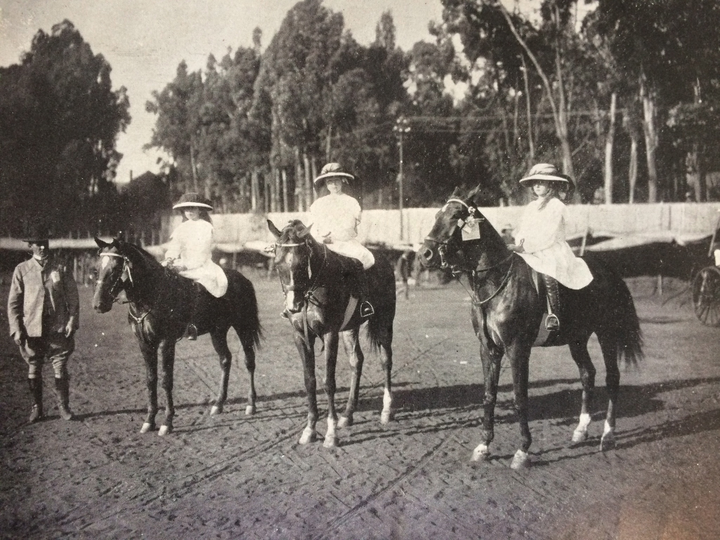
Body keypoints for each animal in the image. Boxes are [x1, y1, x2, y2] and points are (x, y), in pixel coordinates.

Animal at [91, 236, 262, 434]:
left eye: (116, 268)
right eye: (96, 269)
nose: (98, 305)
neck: (153, 294)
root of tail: (243, 279)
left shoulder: (166, 342)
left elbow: (166, 380)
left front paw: (167, 422)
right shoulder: (145, 343)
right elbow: (151, 380)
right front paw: (149, 420)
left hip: (243, 327)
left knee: (249, 361)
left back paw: (251, 404)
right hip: (218, 331)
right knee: (225, 360)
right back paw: (218, 404)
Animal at [268, 218, 396, 448]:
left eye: (302, 263)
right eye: (278, 263)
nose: (293, 306)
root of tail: (385, 260)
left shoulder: (330, 334)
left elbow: (329, 382)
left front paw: (330, 434)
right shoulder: (300, 336)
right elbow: (310, 381)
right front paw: (309, 430)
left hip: (384, 322)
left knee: (386, 360)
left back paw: (386, 411)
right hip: (350, 328)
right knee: (356, 361)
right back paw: (348, 414)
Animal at [420, 188, 644, 466]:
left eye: (455, 216)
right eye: (436, 215)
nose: (425, 254)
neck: (497, 284)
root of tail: (609, 271)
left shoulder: (517, 349)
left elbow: (520, 397)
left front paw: (523, 450)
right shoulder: (489, 349)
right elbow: (489, 395)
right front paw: (483, 446)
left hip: (607, 333)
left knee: (612, 377)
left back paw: (608, 436)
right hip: (577, 338)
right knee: (587, 374)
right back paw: (581, 430)